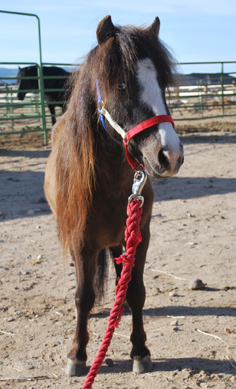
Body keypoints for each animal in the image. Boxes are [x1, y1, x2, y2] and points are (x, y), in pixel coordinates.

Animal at [44, 15, 184, 376]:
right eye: (121, 85)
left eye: (162, 82)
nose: (170, 156)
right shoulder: (82, 243)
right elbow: (83, 296)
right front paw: (77, 354)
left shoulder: (140, 235)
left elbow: (135, 290)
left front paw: (140, 350)